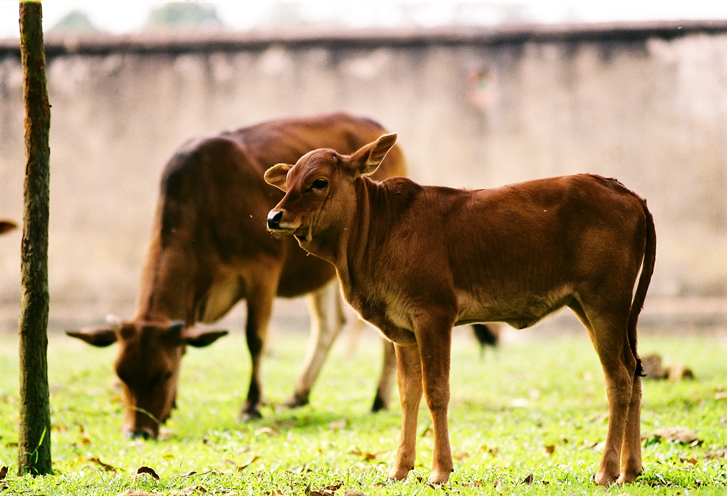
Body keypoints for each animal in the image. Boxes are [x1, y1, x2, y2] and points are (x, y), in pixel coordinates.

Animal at [65, 114, 406, 440]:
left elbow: (255, 338)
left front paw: (251, 405)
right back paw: (298, 395)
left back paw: (379, 400)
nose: (137, 431)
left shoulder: (262, 271)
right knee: (329, 323)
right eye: (121, 374)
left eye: (164, 373)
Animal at [264, 134, 656, 486]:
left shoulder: (434, 315)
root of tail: (627, 192)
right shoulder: (403, 331)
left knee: (619, 377)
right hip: (599, 309)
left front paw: (439, 471)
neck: (378, 230)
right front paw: (399, 469)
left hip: (605, 301)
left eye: (319, 182)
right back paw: (631, 470)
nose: (274, 216)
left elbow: (437, 391)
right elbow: (408, 393)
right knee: (634, 370)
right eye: (288, 180)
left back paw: (607, 471)